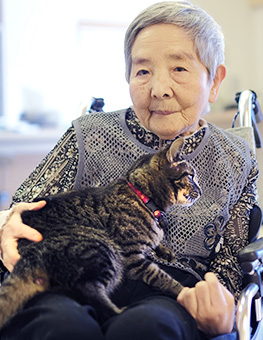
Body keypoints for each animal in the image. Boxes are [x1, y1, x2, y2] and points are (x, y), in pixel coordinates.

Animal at [0, 137, 202, 328]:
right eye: (191, 176)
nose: (200, 191)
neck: (145, 199)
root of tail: (29, 253)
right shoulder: (133, 257)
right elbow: (161, 276)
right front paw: (184, 291)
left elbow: (157, 244)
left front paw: (164, 251)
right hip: (102, 249)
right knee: (87, 290)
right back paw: (120, 312)